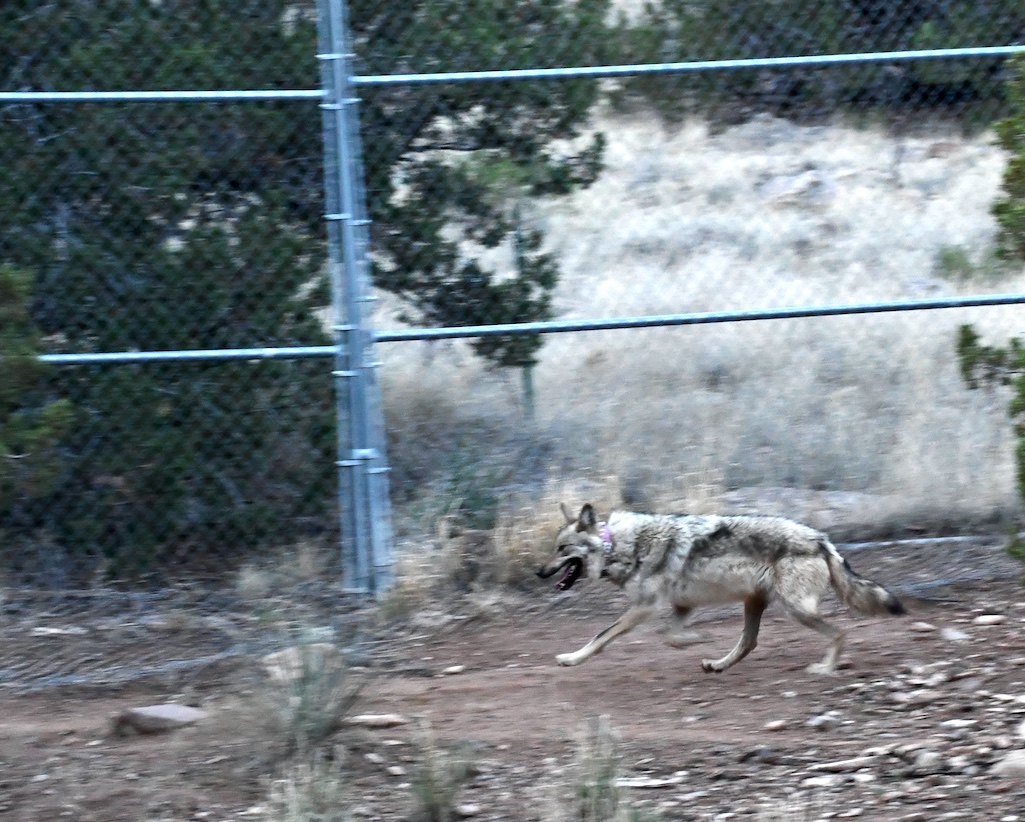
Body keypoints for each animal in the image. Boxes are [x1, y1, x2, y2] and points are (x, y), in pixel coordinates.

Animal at [537, 503, 905, 675]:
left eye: (562, 549)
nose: (539, 572)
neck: (617, 546)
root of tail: (822, 539)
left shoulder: (646, 607)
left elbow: (601, 636)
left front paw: (571, 658)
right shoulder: (680, 606)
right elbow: (669, 636)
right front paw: (696, 640)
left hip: (795, 609)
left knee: (840, 632)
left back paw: (826, 669)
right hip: (756, 604)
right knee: (748, 643)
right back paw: (717, 665)